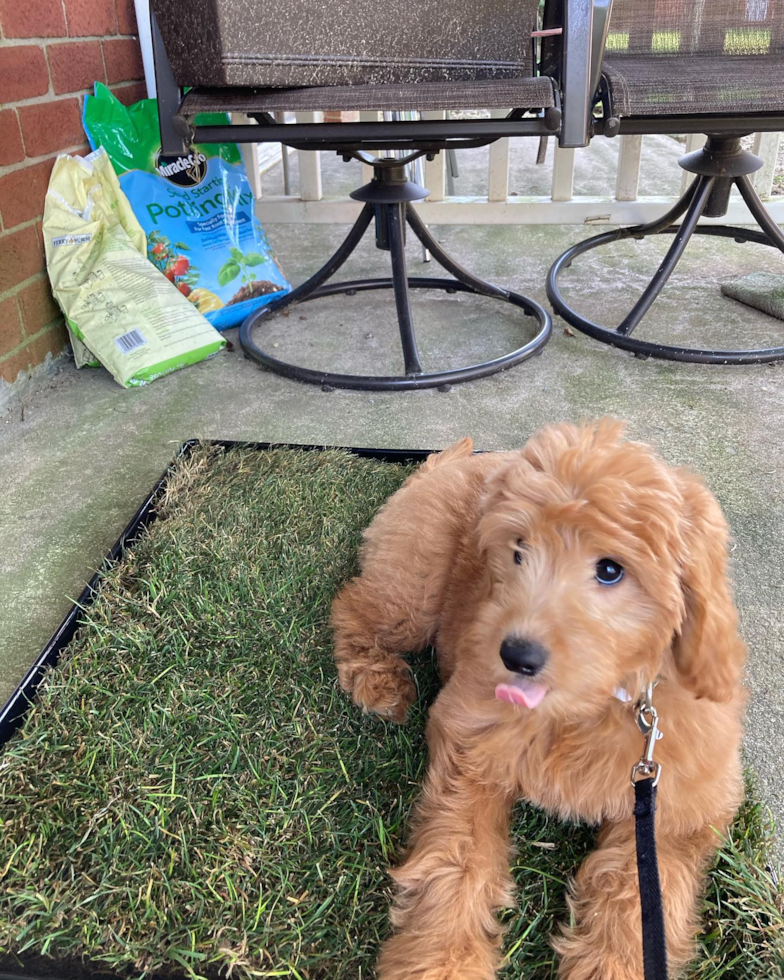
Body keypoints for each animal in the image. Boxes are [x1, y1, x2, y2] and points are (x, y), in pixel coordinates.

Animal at [330, 422, 748, 980]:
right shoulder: (471, 739)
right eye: (519, 550)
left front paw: (613, 964)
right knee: (354, 607)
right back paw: (380, 683)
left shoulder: (676, 808)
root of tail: (450, 462)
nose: (515, 655)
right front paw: (443, 960)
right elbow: (457, 857)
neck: (586, 710)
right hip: (413, 583)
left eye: (610, 570)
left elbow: (637, 900)